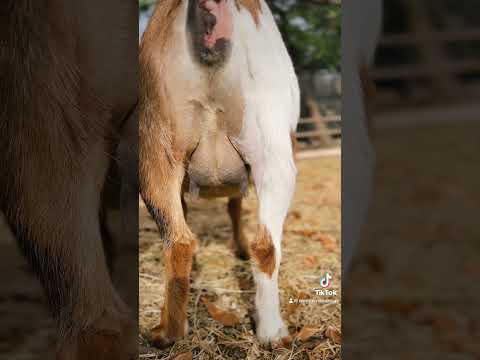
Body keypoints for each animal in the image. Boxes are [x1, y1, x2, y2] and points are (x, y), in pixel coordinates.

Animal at [138, 0, 300, 348]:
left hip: (156, 147)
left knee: (179, 242)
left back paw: (170, 333)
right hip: (273, 147)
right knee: (266, 246)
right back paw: (273, 333)